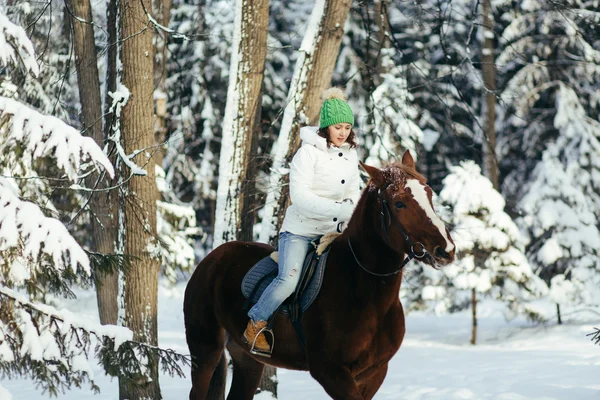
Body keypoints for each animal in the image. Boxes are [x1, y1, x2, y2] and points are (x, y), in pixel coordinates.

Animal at [183, 151, 454, 400]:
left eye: (429, 194)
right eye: (399, 203)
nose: (446, 249)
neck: (363, 292)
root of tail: (211, 259)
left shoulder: (374, 373)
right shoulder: (330, 372)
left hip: (247, 359)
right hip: (204, 350)